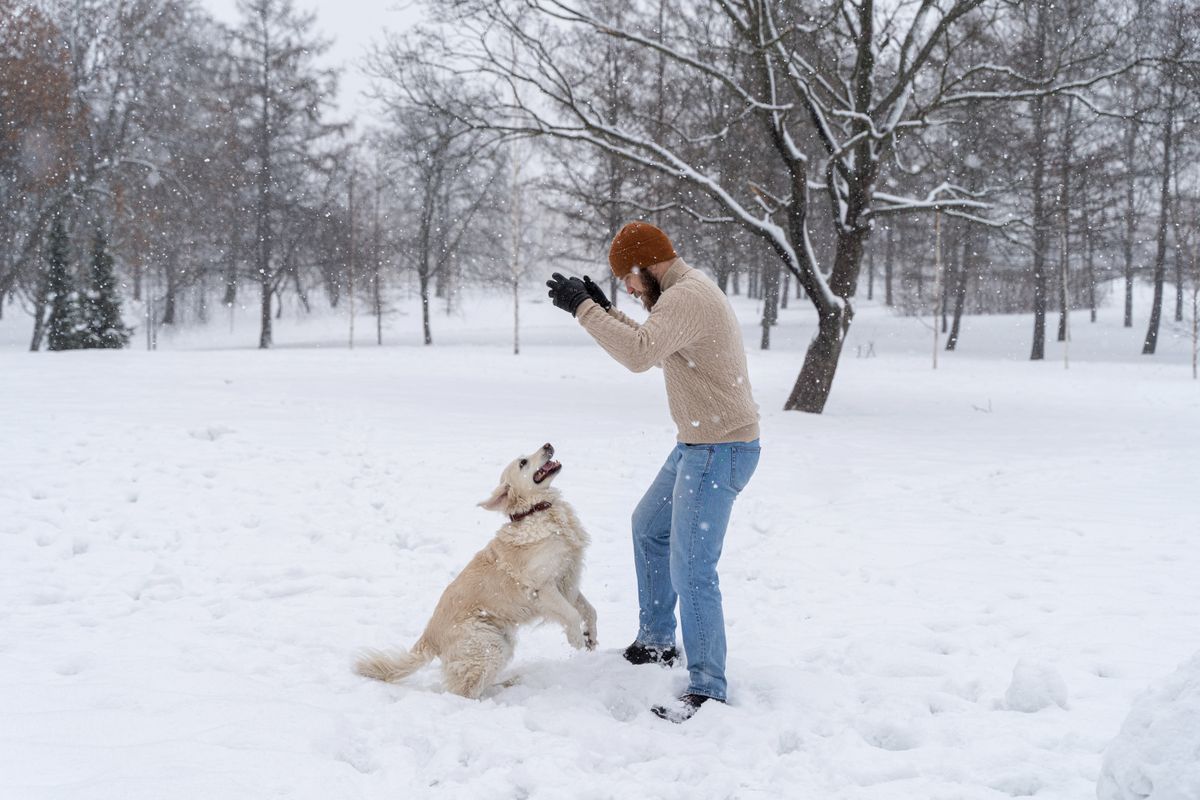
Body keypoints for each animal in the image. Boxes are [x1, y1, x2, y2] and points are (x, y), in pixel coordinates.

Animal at [355, 441, 600, 695]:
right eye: (523, 463)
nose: (548, 444)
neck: (538, 511)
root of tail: (429, 636)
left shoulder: (567, 580)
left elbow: (590, 611)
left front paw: (590, 637)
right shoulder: (542, 588)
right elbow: (571, 614)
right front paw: (576, 640)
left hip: (501, 642)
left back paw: (510, 683)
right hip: (488, 645)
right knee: (465, 692)